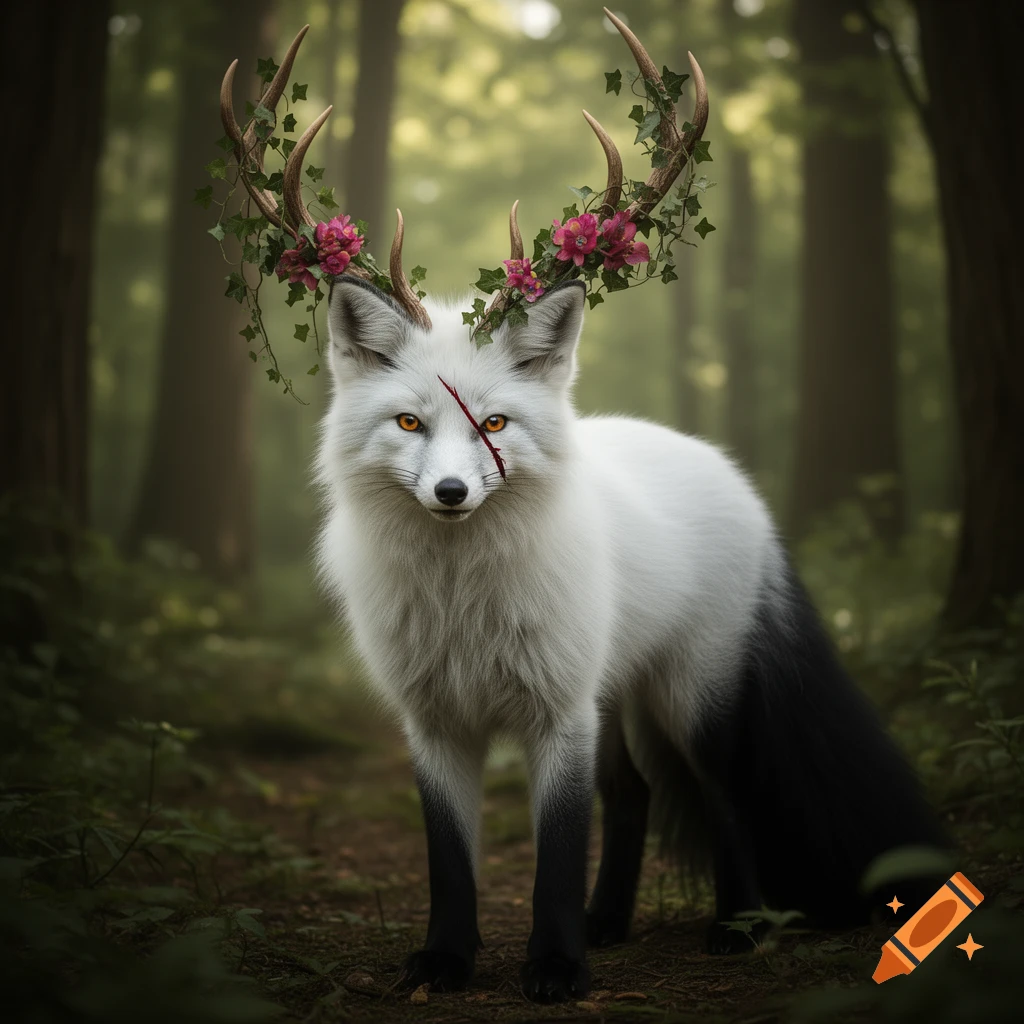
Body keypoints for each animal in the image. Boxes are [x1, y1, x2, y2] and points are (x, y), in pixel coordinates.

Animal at [313, 276, 946, 1004]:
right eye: (409, 423)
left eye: (493, 424)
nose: (451, 492)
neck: (462, 598)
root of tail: (730, 475)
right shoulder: (437, 723)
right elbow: (448, 861)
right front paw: (446, 959)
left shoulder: (560, 715)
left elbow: (558, 857)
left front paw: (557, 966)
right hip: (609, 699)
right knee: (632, 795)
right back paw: (607, 921)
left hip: (689, 700)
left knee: (727, 797)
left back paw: (739, 927)